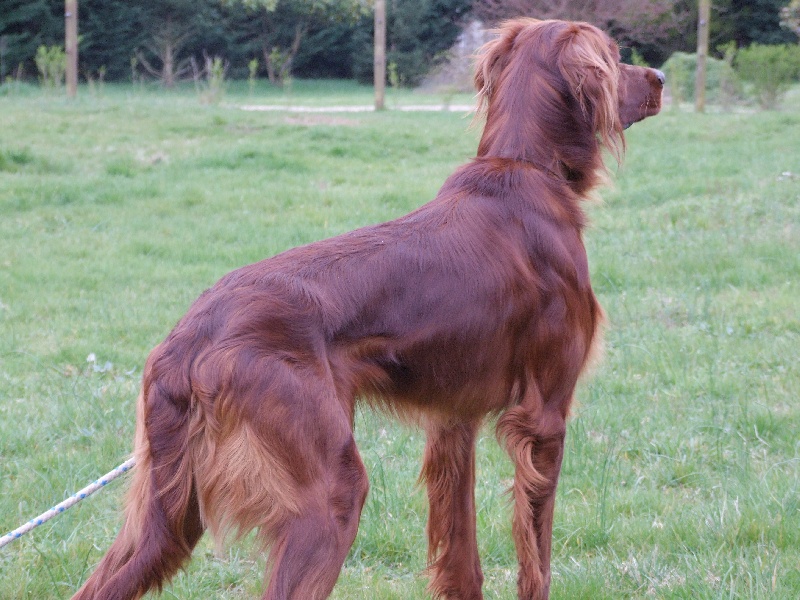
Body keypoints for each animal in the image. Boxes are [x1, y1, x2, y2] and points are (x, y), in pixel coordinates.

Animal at [73, 18, 664, 600]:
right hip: (330, 493)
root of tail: (188, 339)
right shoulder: (544, 419)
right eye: (615, 55)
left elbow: (461, 555)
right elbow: (536, 561)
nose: (660, 76)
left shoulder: (454, 420)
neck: (526, 169)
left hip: (168, 513)